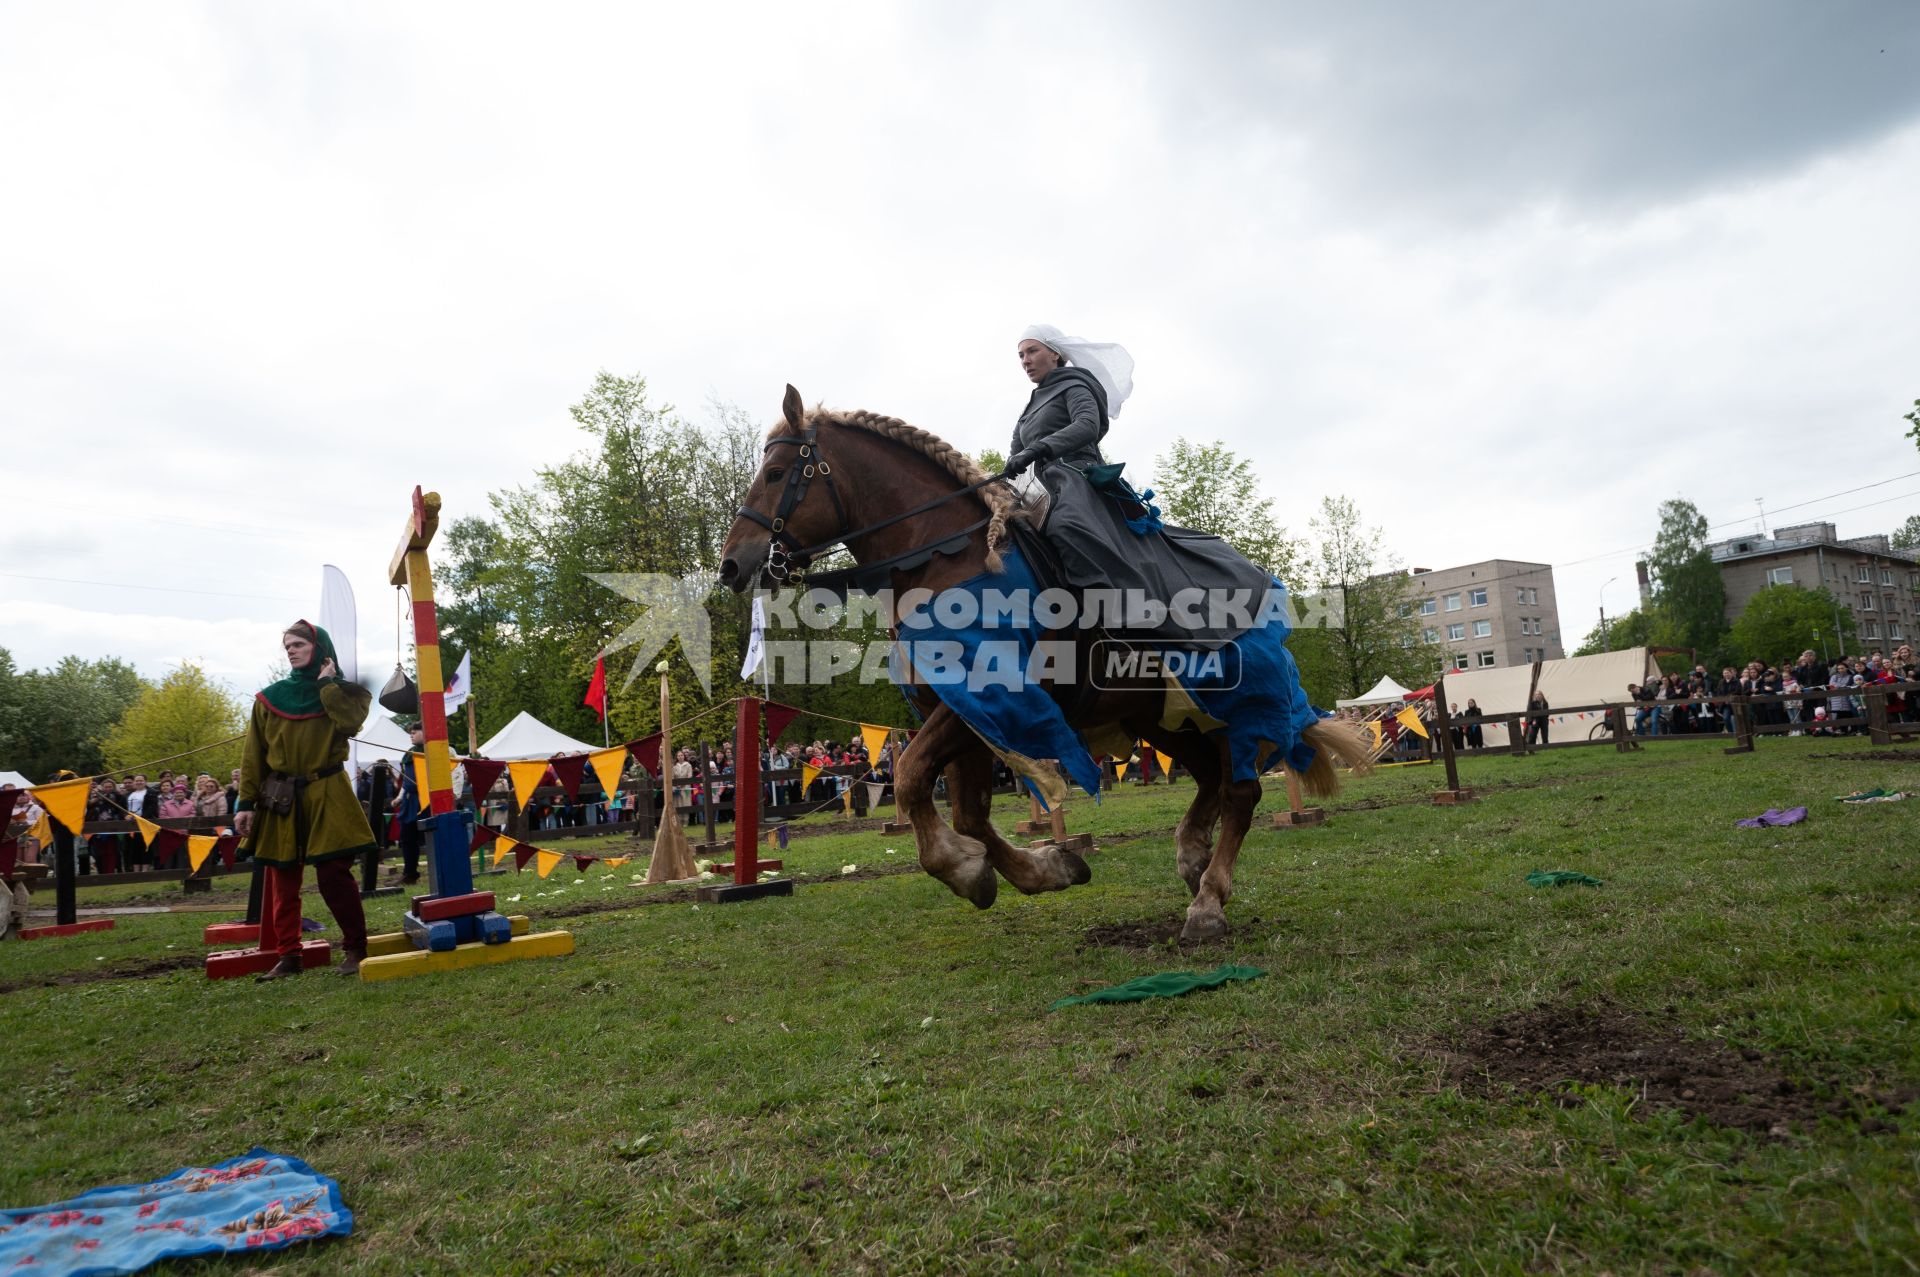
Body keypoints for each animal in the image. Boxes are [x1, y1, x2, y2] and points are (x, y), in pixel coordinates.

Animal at [718, 385, 1367, 937]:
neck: (945, 560)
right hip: (1158, 717)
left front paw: (967, 869)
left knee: (1240, 791)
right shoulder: (970, 713)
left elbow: (910, 779)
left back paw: (1208, 901)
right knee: (1212, 780)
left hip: (1222, 703)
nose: (732, 565)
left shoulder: (986, 701)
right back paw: (1192, 857)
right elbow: (968, 813)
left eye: (775, 473)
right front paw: (1040, 869)